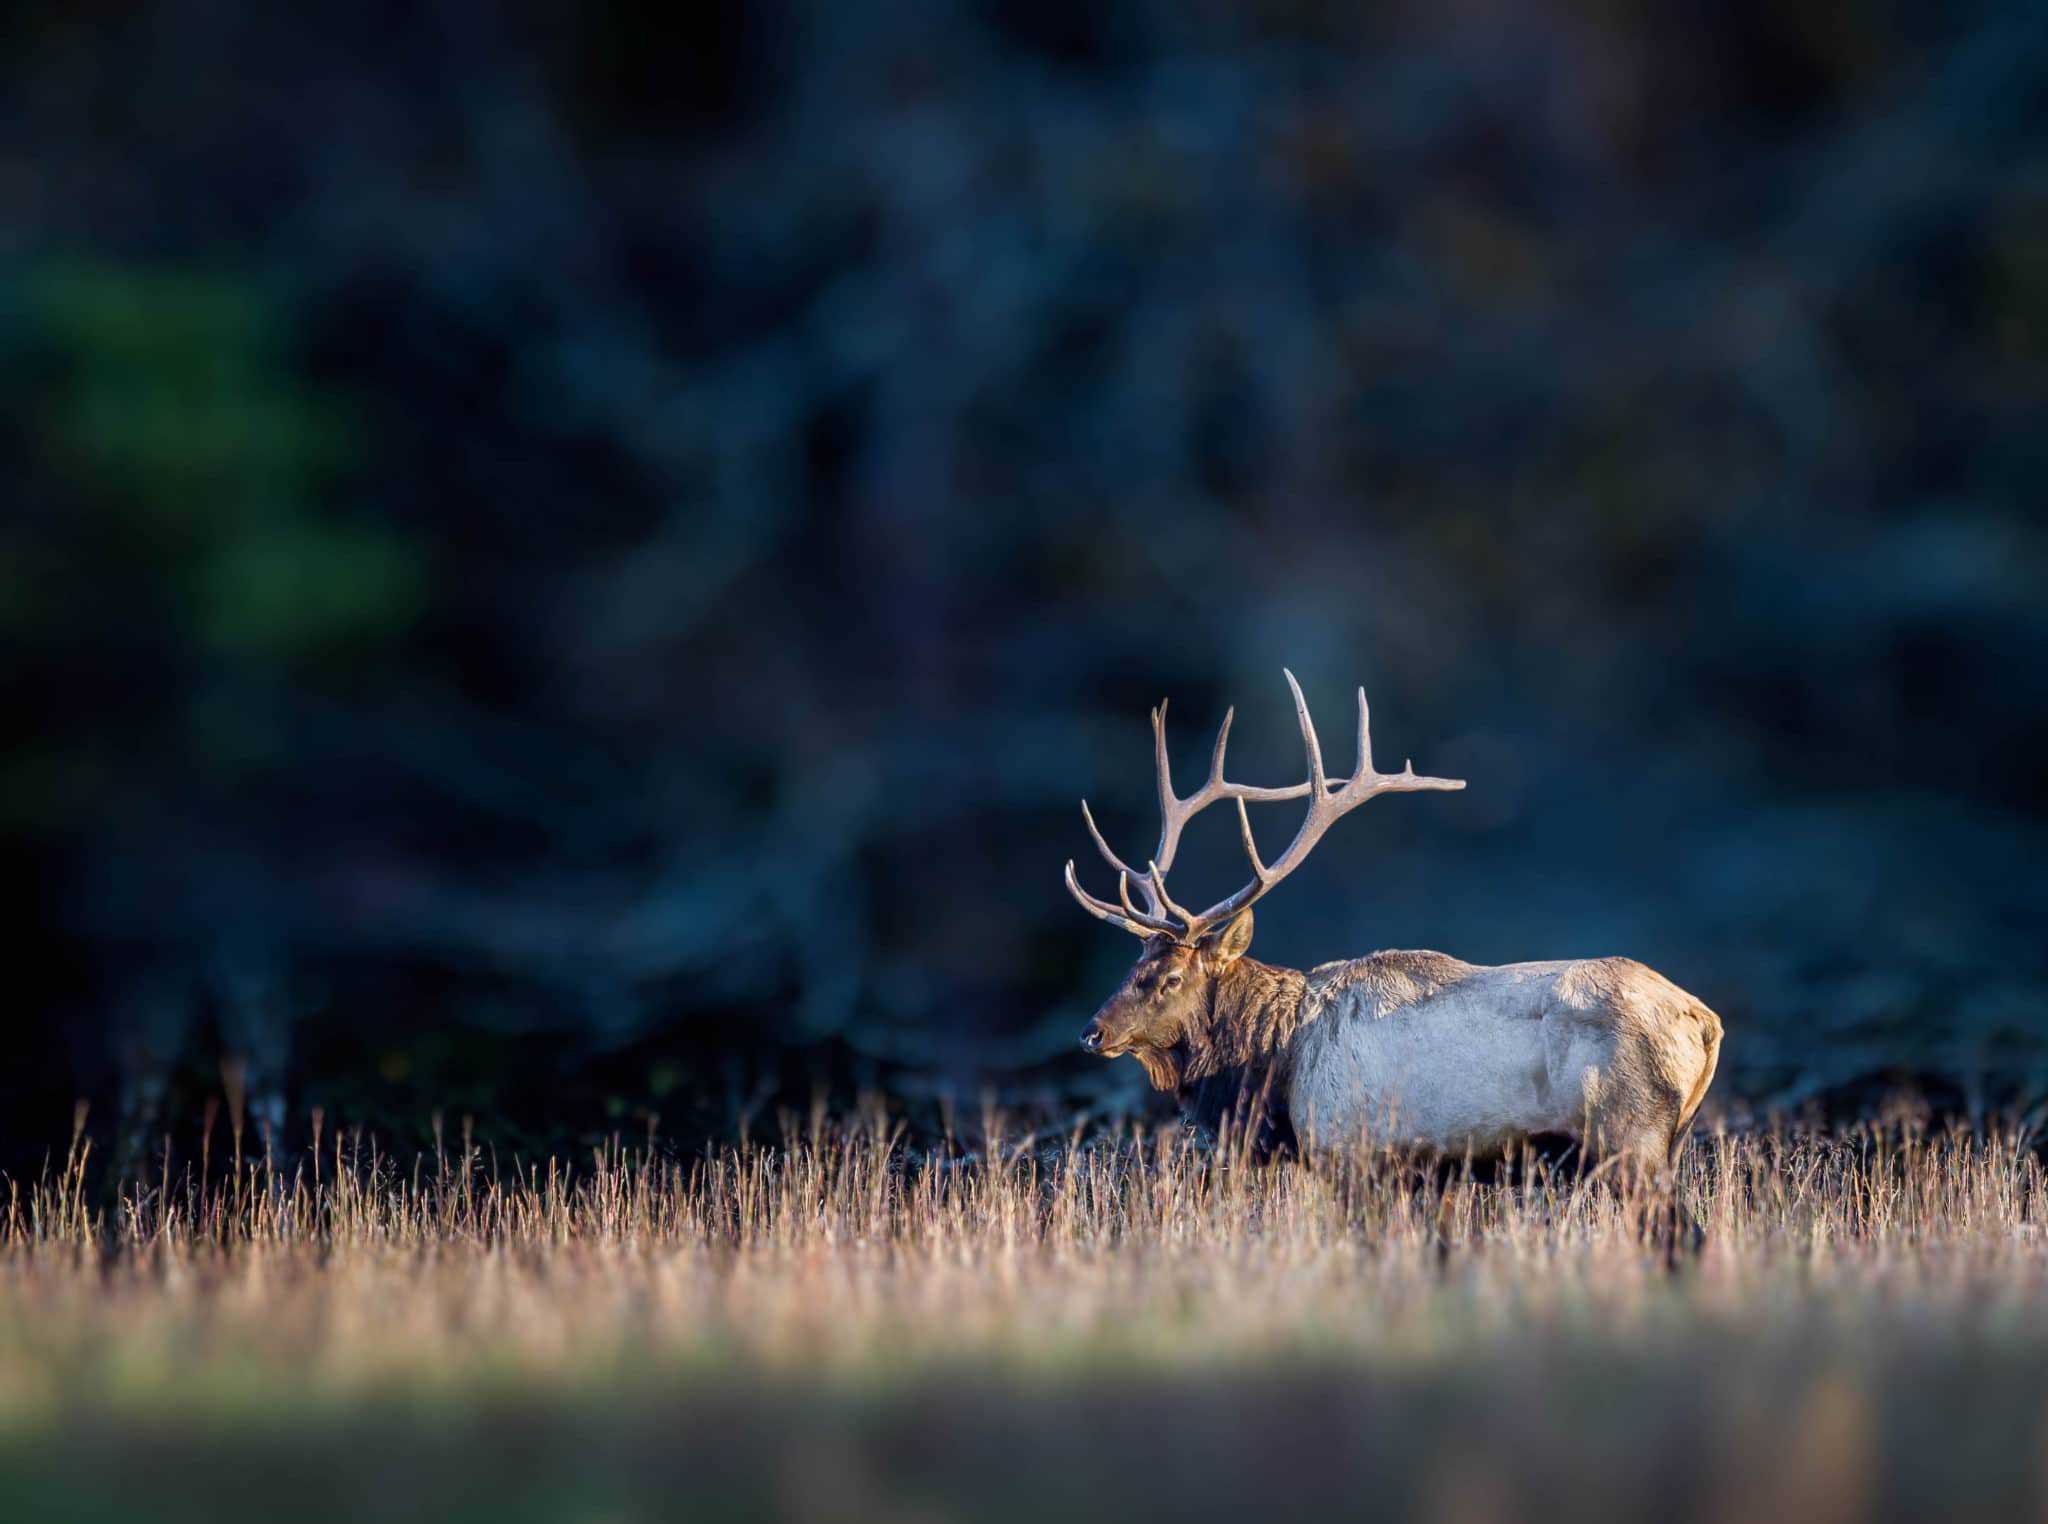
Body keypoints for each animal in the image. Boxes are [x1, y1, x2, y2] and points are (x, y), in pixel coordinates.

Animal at [1064, 671, 1720, 1196]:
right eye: (1133, 966)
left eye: (1170, 977)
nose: (1093, 1032)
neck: (1274, 1070)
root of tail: (1705, 1021)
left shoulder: (1351, 1154)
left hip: (1628, 1138)